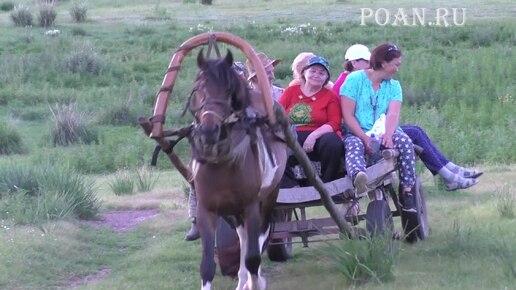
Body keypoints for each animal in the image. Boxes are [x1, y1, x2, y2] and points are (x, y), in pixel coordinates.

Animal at [187, 48, 288, 290]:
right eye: (198, 88)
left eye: (229, 91)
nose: (209, 131)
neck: (222, 163)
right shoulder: (207, 209)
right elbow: (207, 265)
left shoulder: (250, 206)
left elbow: (253, 256)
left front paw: (255, 282)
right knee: (242, 237)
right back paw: (243, 280)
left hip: (269, 197)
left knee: (259, 237)